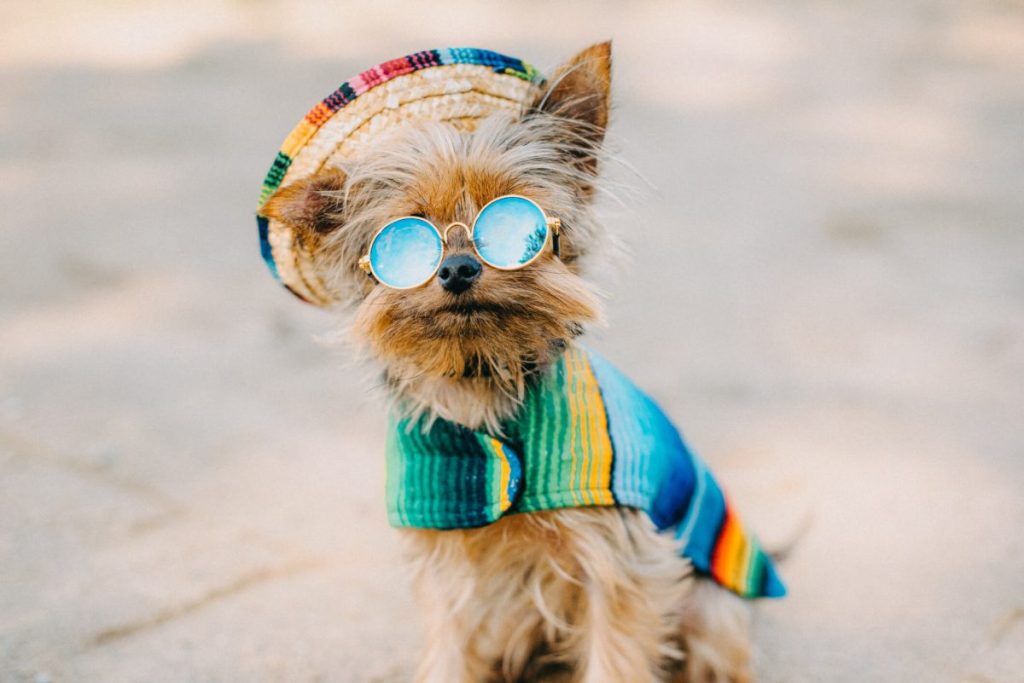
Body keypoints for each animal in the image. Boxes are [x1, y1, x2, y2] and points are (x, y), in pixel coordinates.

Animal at [258, 44, 782, 683]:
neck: (482, 383)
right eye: (404, 241)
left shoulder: (619, 560)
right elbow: (448, 650)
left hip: (713, 606)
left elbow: (614, 653)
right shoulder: (443, 552)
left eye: (512, 223)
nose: (458, 268)